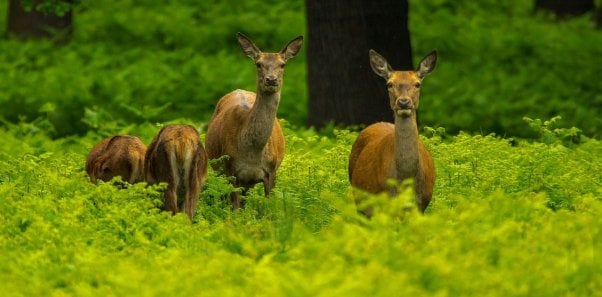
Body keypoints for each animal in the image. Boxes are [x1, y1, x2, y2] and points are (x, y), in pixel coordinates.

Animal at [204, 33, 302, 208]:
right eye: (258, 64)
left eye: (282, 64)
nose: (271, 80)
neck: (252, 154)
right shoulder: (231, 171)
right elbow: (234, 208)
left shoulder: (271, 172)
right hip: (220, 171)